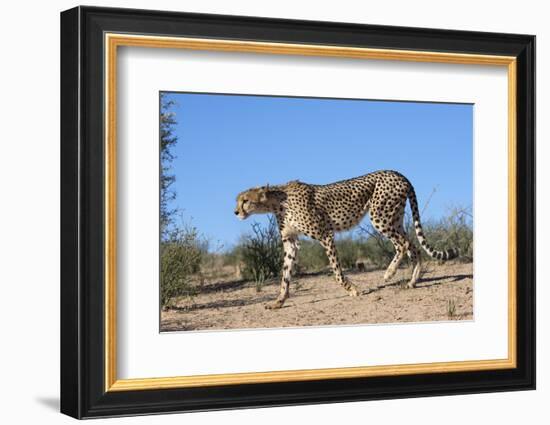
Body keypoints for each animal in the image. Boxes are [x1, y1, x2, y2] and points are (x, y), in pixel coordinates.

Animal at [235, 169, 460, 308]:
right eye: (238, 201)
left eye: (245, 200)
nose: (235, 212)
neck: (277, 202)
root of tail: (397, 173)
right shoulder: (291, 243)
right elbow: (285, 275)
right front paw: (279, 302)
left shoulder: (325, 235)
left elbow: (336, 272)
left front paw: (352, 290)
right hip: (394, 218)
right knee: (414, 245)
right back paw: (412, 282)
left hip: (380, 217)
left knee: (403, 244)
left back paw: (389, 273)